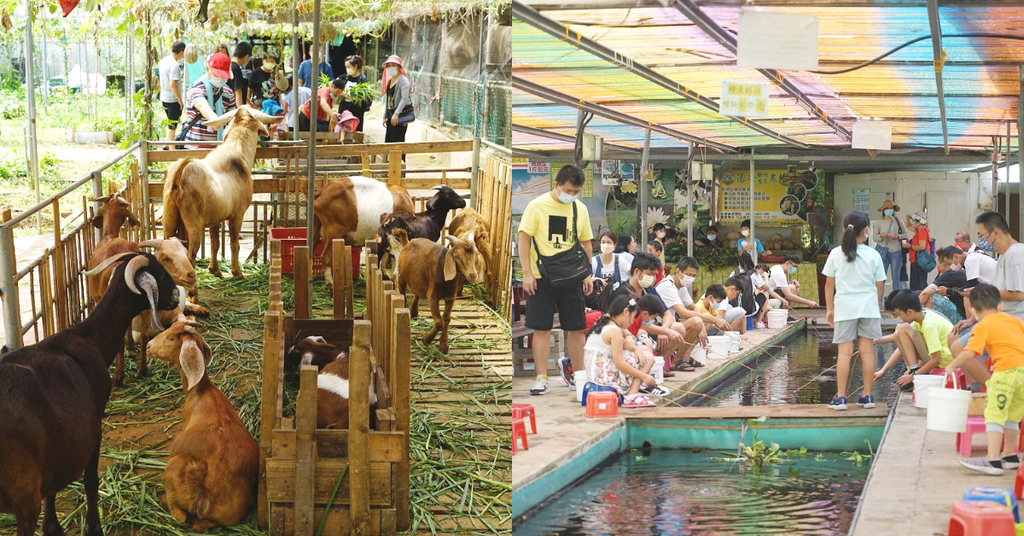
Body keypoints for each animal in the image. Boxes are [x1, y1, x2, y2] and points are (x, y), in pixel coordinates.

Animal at [0, 253, 180, 536]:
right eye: (160, 273)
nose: (176, 295)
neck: (90, 338)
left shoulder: (55, 449)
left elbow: (52, 488)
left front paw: (52, 526)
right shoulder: (95, 426)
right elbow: (91, 480)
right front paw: (94, 526)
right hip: (23, 495)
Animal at [148, 323, 260, 532]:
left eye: (170, 337)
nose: (148, 346)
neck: (202, 390)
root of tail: (205, 496)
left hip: (173, 467)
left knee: (179, 514)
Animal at [161, 105, 280, 280]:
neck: (238, 153)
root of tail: (177, 179)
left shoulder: (215, 219)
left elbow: (215, 243)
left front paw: (215, 270)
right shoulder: (237, 215)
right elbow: (234, 244)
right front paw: (237, 272)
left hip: (170, 220)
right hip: (193, 223)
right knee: (191, 255)